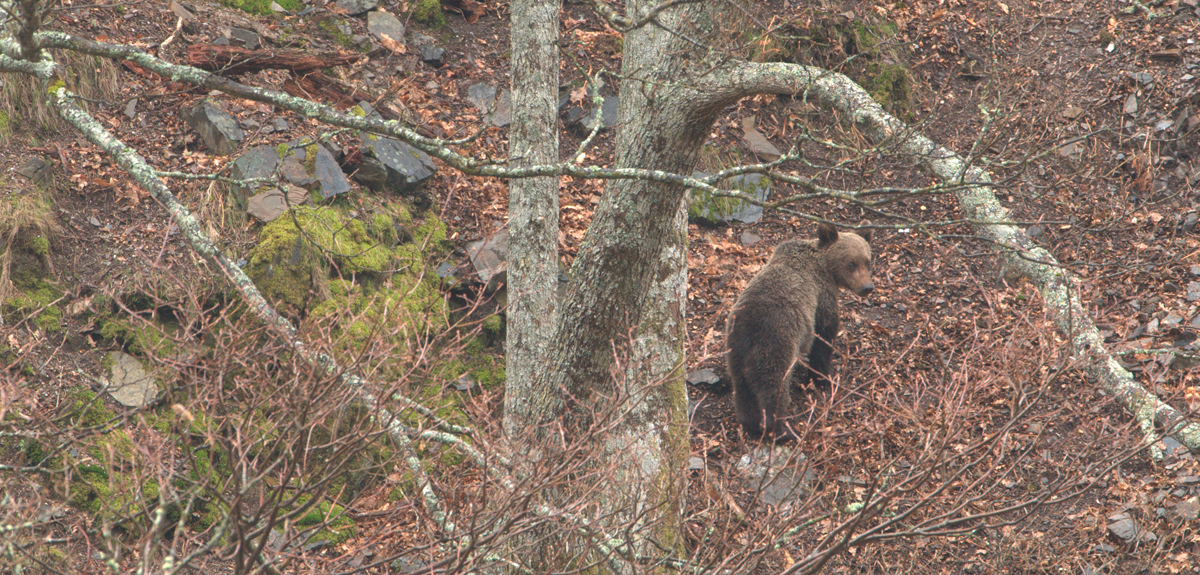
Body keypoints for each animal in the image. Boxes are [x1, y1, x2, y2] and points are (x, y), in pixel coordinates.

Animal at [725, 223, 874, 441]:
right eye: (851, 263)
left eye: (867, 261)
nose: (867, 287)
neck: (823, 266)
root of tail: (747, 328)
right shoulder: (821, 297)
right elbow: (823, 337)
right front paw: (823, 377)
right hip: (776, 341)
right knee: (774, 388)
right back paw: (782, 431)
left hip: (736, 351)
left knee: (743, 388)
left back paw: (750, 424)